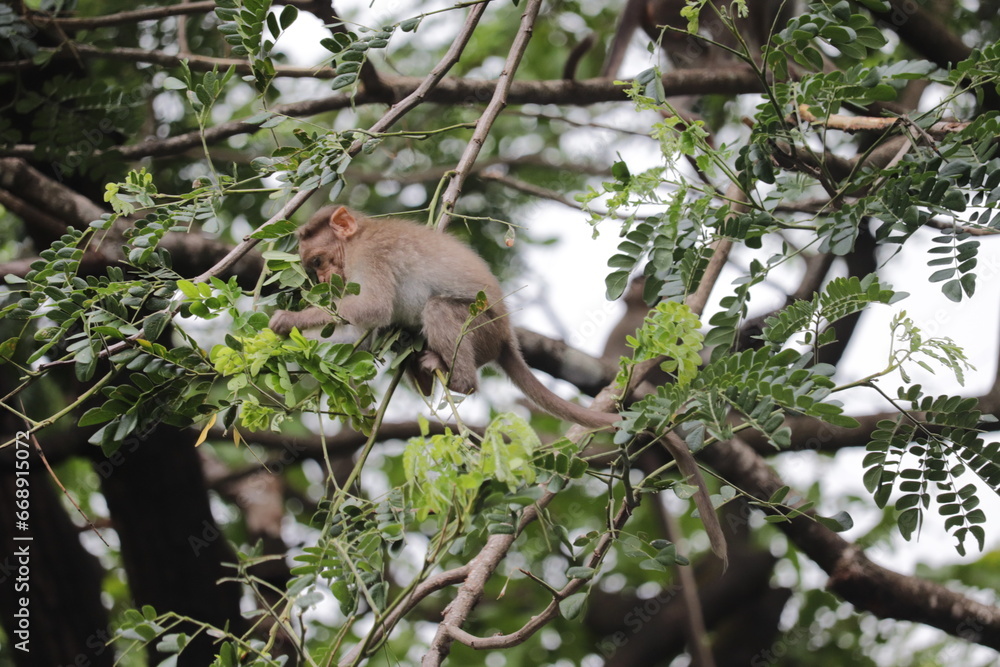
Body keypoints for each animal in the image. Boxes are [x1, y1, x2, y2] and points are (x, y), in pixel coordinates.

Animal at [268, 206, 621, 429]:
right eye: (313, 269)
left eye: (318, 261)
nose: (324, 280)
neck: (358, 236)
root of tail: (506, 337)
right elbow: (359, 333)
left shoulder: (370, 254)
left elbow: (373, 307)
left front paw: (287, 320)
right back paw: (422, 373)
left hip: (481, 328)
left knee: (437, 309)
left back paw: (458, 381)